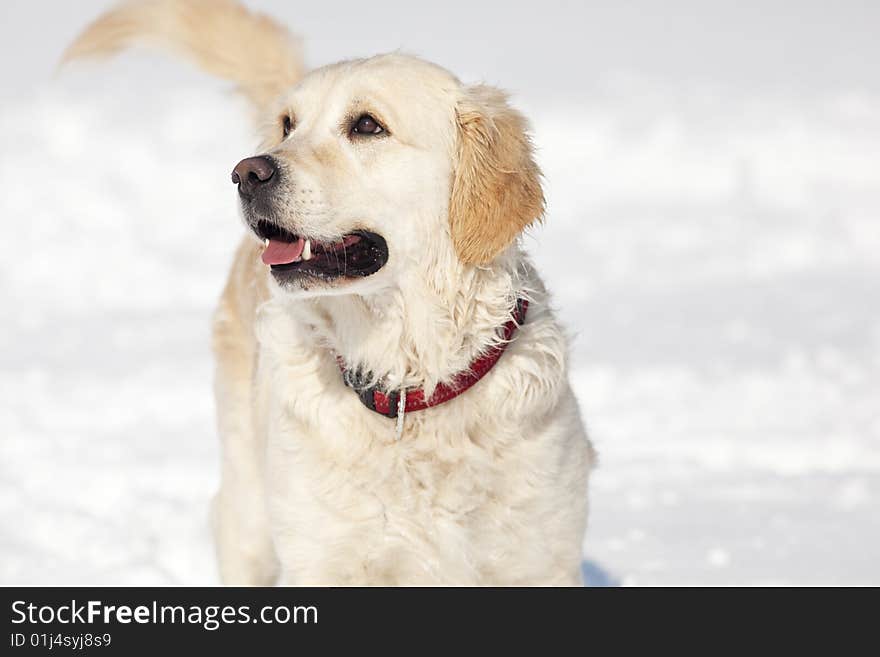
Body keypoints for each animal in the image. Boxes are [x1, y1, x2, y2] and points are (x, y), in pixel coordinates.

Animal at [65, 0, 596, 584]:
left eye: (367, 125)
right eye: (289, 125)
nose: (247, 172)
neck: (409, 382)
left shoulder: (538, 559)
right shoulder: (324, 556)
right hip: (249, 510)